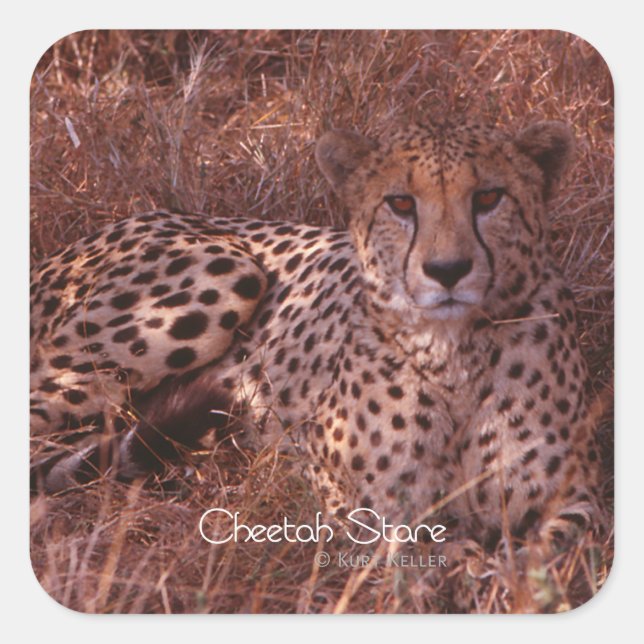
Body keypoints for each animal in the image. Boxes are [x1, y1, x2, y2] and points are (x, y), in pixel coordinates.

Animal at [30, 118, 602, 545]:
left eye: (488, 198)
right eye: (400, 203)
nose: (448, 270)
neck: (453, 353)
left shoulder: (577, 501)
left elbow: (550, 548)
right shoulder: (355, 499)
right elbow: (432, 551)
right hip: (223, 274)